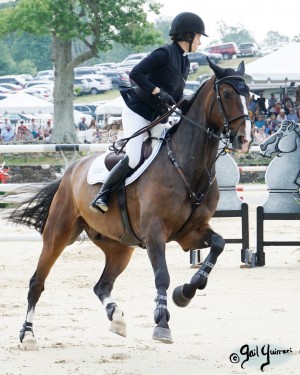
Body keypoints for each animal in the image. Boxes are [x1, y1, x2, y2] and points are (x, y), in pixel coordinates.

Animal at [8, 58, 252, 350]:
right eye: (226, 94)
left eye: (250, 95)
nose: (244, 140)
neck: (187, 164)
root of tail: (71, 170)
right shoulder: (155, 233)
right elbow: (162, 276)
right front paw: (162, 323)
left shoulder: (190, 233)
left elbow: (218, 244)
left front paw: (185, 293)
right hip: (58, 233)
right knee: (37, 282)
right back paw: (28, 334)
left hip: (119, 247)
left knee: (102, 285)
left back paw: (117, 318)